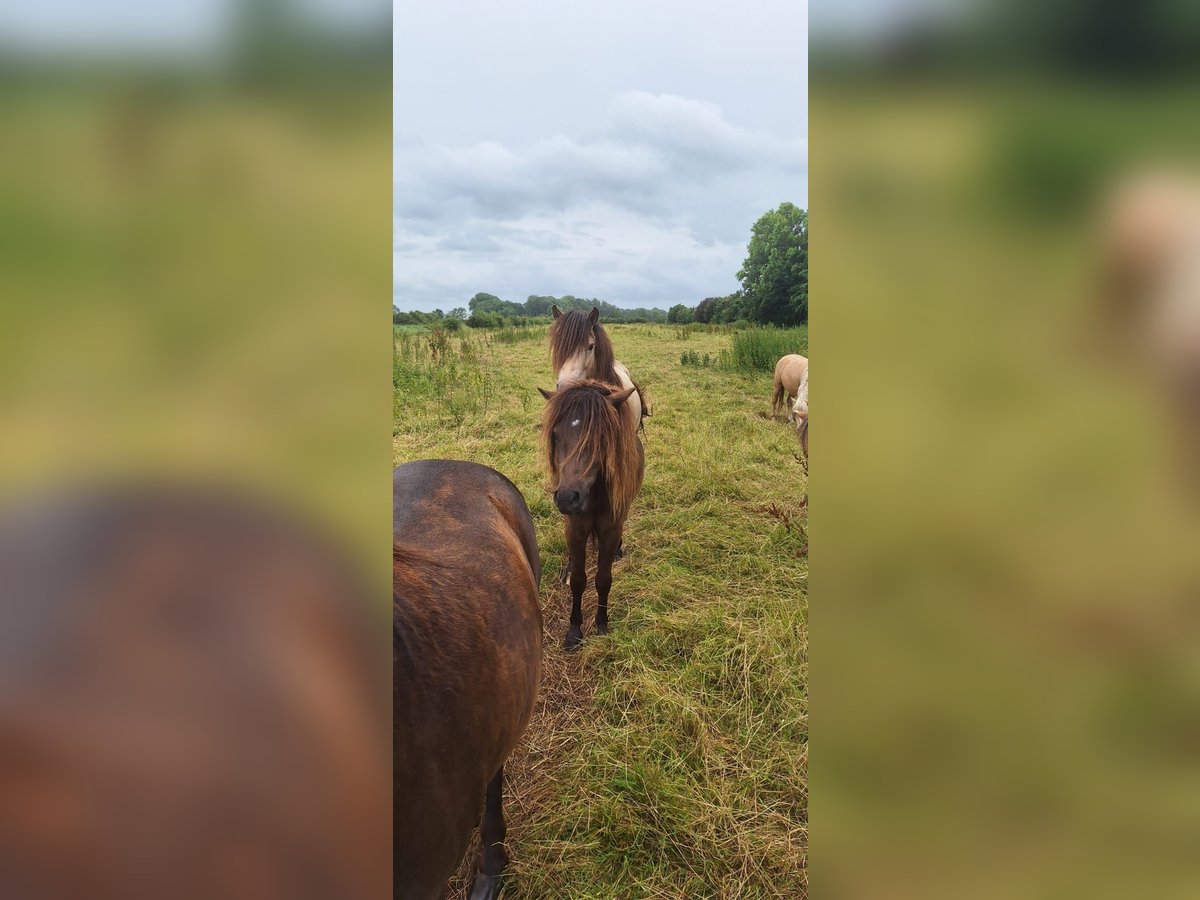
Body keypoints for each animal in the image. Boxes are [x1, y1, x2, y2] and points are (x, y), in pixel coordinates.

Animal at [537, 379, 643, 648]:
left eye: (601, 436)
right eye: (555, 434)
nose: (567, 498)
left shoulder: (610, 528)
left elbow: (603, 579)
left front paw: (602, 624)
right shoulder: (575, 528)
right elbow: (578, 579)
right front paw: (574, 631)